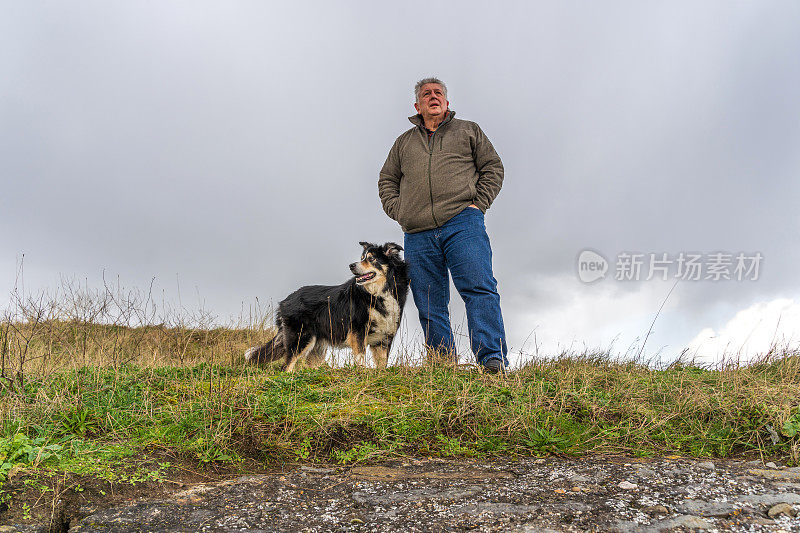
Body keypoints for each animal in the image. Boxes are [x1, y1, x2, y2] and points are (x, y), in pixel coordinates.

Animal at [244, 241, 410, 370]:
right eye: (362, 258)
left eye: (371, 259)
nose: (351, 265)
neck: (378, 292)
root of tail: (285, 301)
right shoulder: (358, 331)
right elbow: (360, 358)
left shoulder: (383, 338)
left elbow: (382, 365)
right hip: (301, 338)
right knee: (286, 367)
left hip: (317, 348)